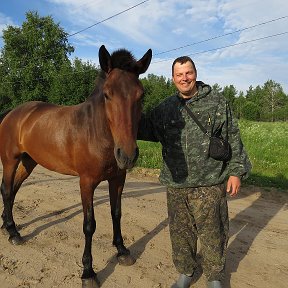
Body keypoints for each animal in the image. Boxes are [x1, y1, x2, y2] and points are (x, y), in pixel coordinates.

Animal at [0, 44, 152, 286]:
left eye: (141, 94)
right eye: (107, 94)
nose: (127, 155)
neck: (95, 132)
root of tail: (14, 113)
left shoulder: (118, 179)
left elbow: (116, 213)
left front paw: (121, 251)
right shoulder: (87, 183)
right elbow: (89, 225)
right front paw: (88, 272)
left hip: (28, 162)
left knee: (12, 190)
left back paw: (7, 225)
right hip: (10, 161)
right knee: (6, 190)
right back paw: (14, 234)